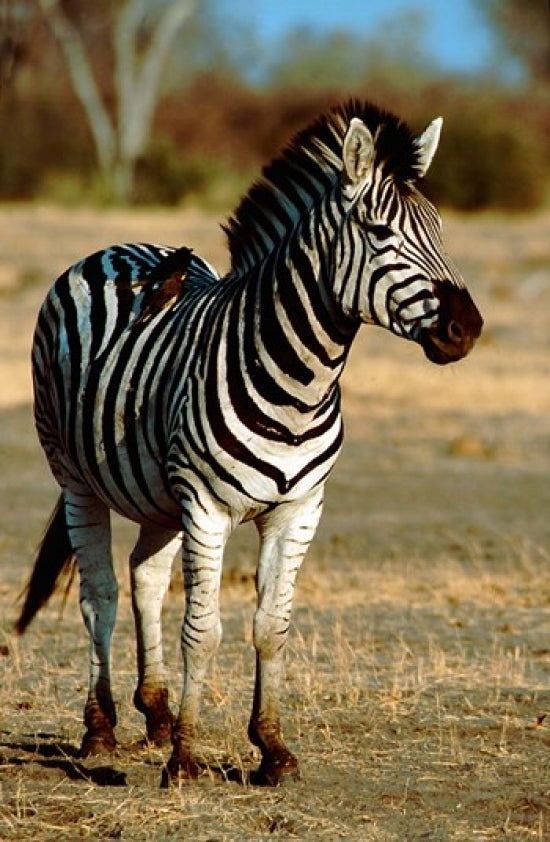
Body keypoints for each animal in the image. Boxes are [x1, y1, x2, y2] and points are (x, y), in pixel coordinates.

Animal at [16, 99, 483, 787]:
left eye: (441, 231)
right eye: (378, 232)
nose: (467, 328)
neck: (301, 383)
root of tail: (118, 247)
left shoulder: (299, 509)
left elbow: (272, 627)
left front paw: (272, 748)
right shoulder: (206, 507)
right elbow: (204, 631)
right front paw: (186, 759)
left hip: (157, 492)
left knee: (144, 576)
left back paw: (155, 713)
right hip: (76, 475)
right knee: (99, 595)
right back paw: (101, 731)